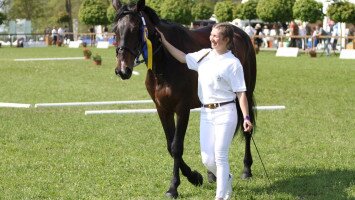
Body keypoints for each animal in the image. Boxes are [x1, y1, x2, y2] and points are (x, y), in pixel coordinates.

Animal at [111, 0, 256, 198]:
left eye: (134, 29)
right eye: (115, 30)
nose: (122, 70)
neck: (164, 63)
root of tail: (240, 33)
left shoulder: (182, 109)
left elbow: (176, 147)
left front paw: (175, 186)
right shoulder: (162, 109)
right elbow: (169, 146)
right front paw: (195, 177)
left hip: (246, 94)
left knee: (247, 128)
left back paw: (246, 169)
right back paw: (212, 174)